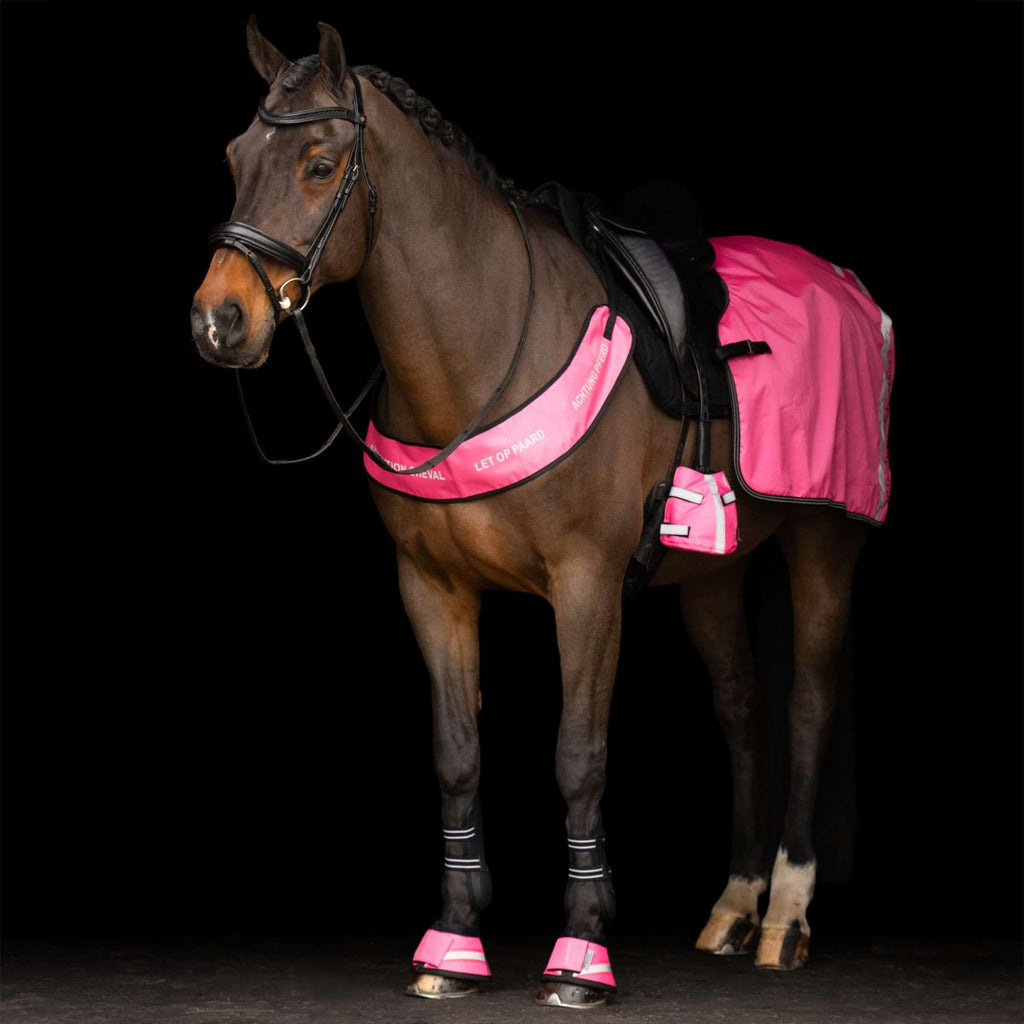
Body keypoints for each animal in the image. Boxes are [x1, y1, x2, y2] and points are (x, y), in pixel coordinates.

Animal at [190, 20, 893, 1008]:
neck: (487, 347)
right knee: (742, 708)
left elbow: (578, 756)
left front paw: (583, 953)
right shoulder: (432, 589)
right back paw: (733, 907)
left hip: (826, 542)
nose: (219, 319)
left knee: (806, 707)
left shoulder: (587, 586)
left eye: (321, 165)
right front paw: (451, 943)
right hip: (711, 571)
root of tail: (847, 285)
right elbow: (456, 753)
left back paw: (784, 917)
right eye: (235, 156)